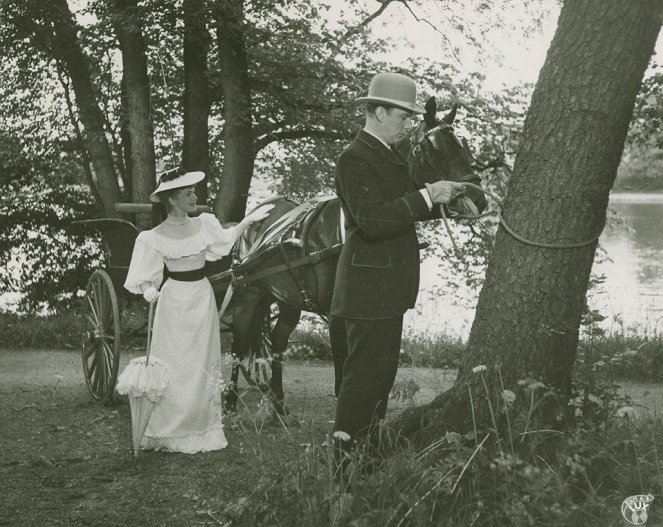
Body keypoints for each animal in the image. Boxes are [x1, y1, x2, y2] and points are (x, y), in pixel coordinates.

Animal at [220, 97, 486, 414]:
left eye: (462, 145)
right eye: (437, 150)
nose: (479, 197)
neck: (339, 230)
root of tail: (252, 220)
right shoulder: (339, 314)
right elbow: (342, 372)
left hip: (287, 299)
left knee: (277, 342)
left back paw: (278, 406)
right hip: (248, 294)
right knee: (238, 346)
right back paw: (230, 403)